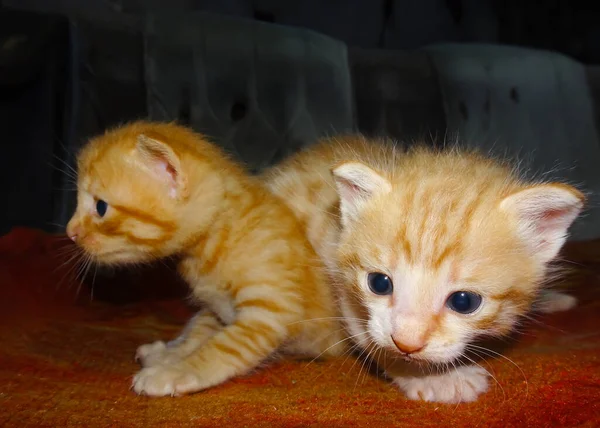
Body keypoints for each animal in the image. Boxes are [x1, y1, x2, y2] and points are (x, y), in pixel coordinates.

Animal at [65, 122, 344, 396]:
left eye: (100, 207)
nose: (70, 233)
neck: (216, 242)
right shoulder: (215, 307)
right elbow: (198, 331)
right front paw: (170, 353)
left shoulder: (270, 311)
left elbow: (224, 346)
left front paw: (173, 372)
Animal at [264, 136, 584, 402]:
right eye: (379, 283)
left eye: (464, 302)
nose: (406, 343)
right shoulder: (340, 275)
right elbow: (373, 338)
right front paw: (435, 379)